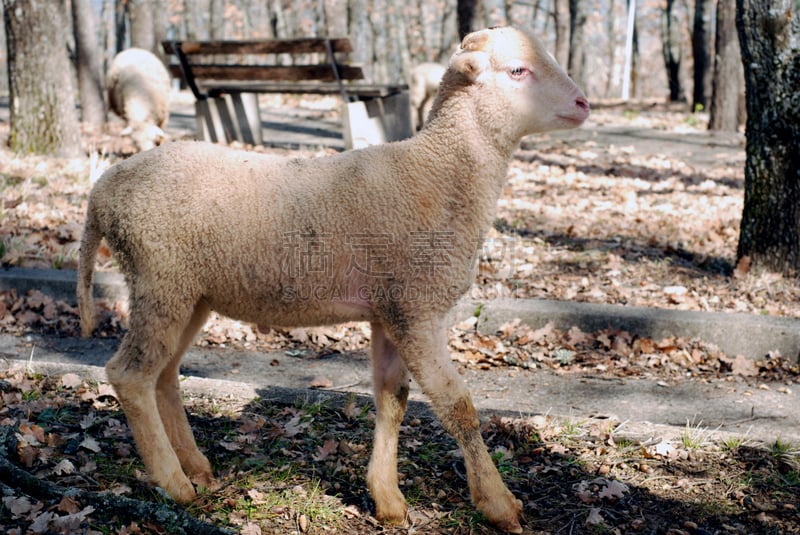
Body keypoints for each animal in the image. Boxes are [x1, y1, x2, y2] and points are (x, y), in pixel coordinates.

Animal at [78, 27, 592, 532]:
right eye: (518, 70)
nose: (584, 103)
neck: (439, 171)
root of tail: (101, 193)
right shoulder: (416, 310)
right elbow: (458, 406)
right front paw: (498, 504)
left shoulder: (389, 311)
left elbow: (392, 397)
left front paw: (387, 499)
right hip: (159, 280)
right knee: (130, 376)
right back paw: (175, 484)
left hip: (190, 295)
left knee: (164, 375)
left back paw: (197, 468)